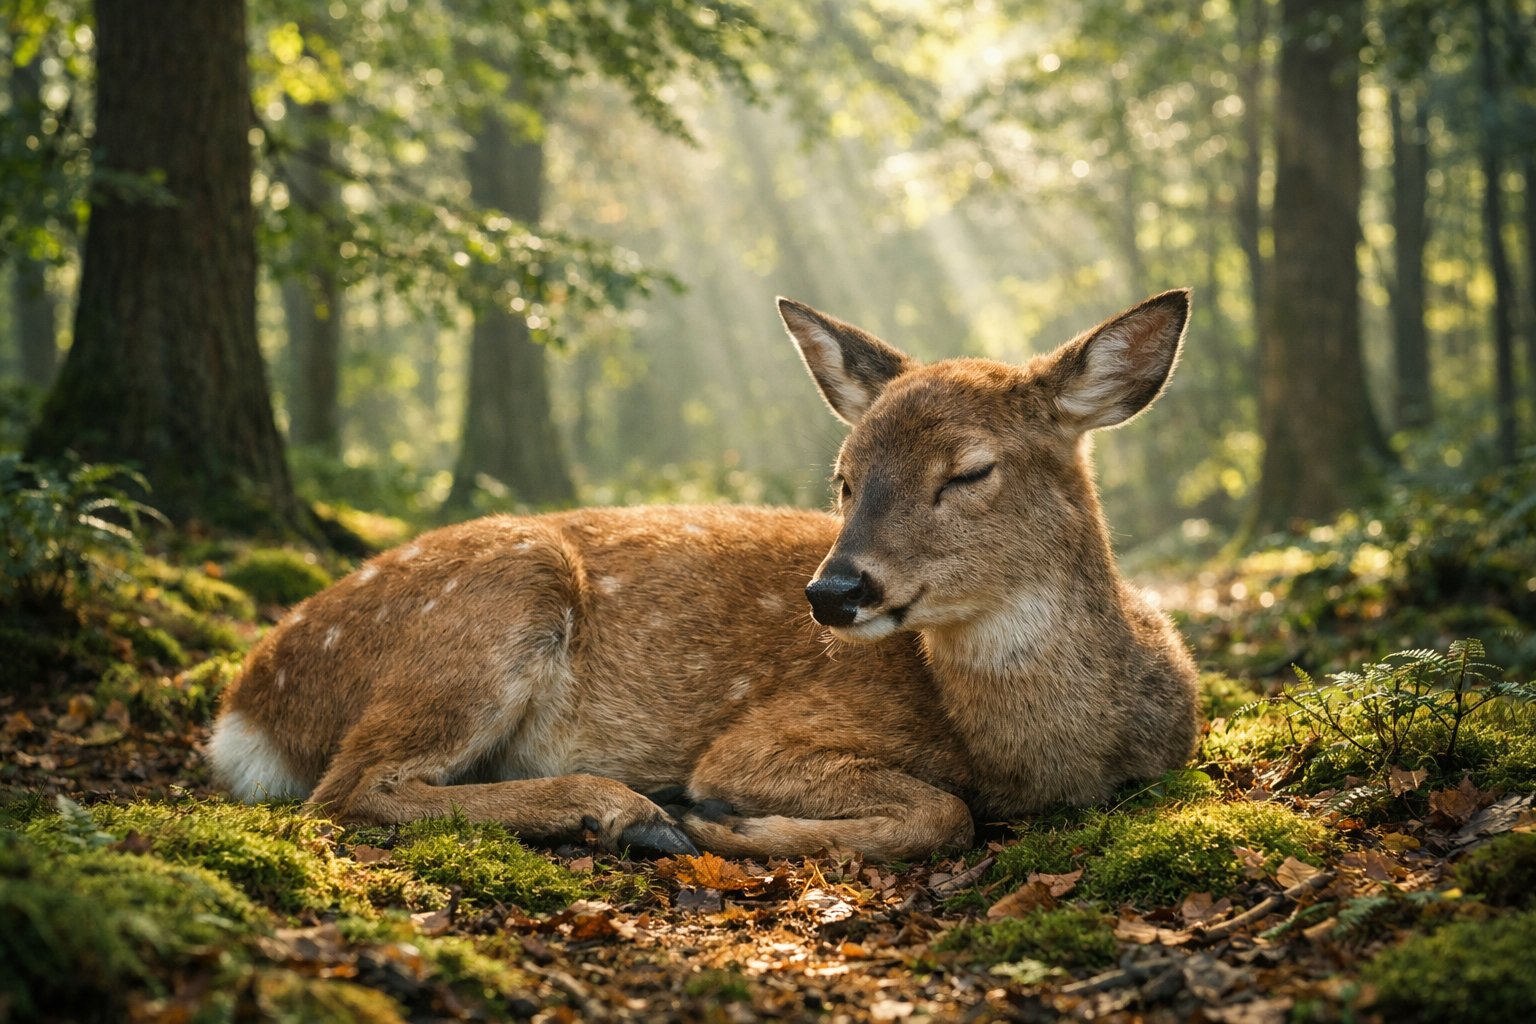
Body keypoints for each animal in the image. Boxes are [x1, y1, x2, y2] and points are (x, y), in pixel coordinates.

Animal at [208, 289, 1202, 862]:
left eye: (969, 471)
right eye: (844, 477)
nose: (833, 592)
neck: (1046, 758)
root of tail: (246, 704)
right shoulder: (763, 736)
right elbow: (942, 812)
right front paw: (725, 820)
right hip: (497, 597)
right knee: (351, 787)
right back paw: (625, 810)